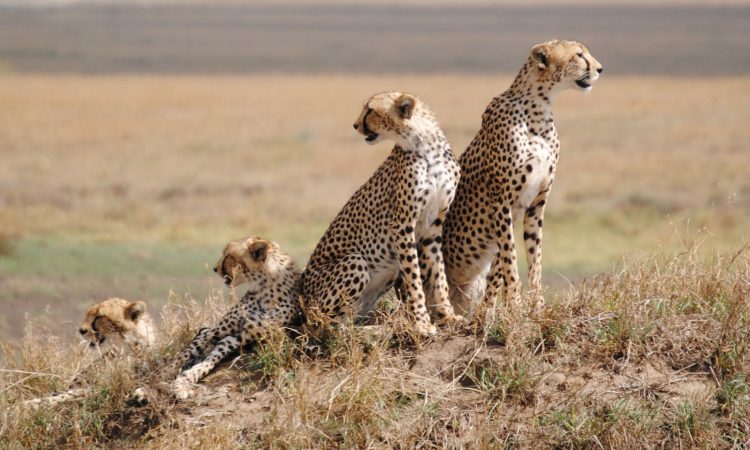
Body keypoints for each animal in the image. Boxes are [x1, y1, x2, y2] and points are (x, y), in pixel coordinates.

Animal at [24, 298, 156, 408]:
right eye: (87, 315)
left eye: (98, 317)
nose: (81, 330)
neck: (125, 348)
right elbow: (67, 393)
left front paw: (142, 394)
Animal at [302, 91, 462, 336]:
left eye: (370, 110)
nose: (355, 125)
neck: (425, 145)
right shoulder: (402, 224)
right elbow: (414, 279)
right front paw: (422, 323)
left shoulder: (433, 226)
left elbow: (439, 273)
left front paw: (448, 315)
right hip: (355, 261)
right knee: (327, 327)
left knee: (344, 322)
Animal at [446, 40, 604, 314]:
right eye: (579, 55)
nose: (600, 69)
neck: (539, 108)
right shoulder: (502, 202)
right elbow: (510, 258)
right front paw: (515, 305)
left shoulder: (536, 204)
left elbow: (531, 259)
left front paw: (532, 306)